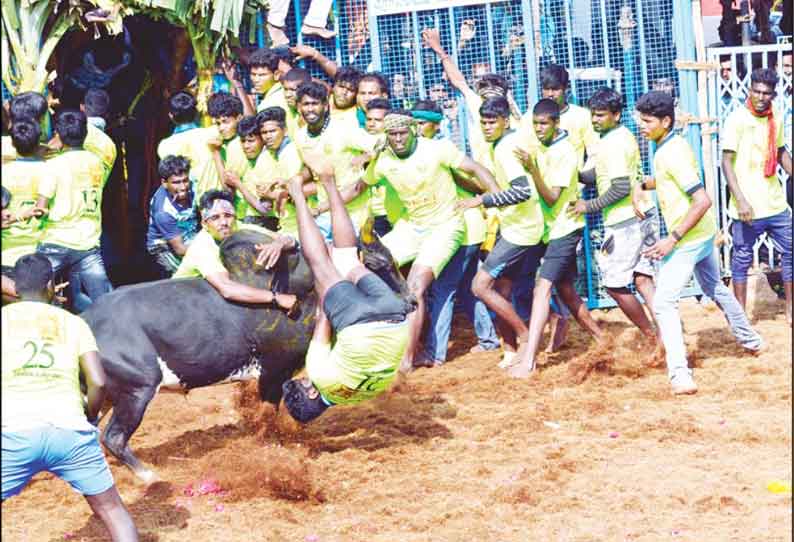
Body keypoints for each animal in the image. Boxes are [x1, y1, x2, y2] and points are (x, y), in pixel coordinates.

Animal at [83, 227, 408, 482]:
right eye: (378, 263)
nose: (411, 301)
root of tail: (84, 320)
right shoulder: (274, 372)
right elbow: (268, 416)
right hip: (139, 388)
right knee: (112, 437)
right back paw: (149, 476)